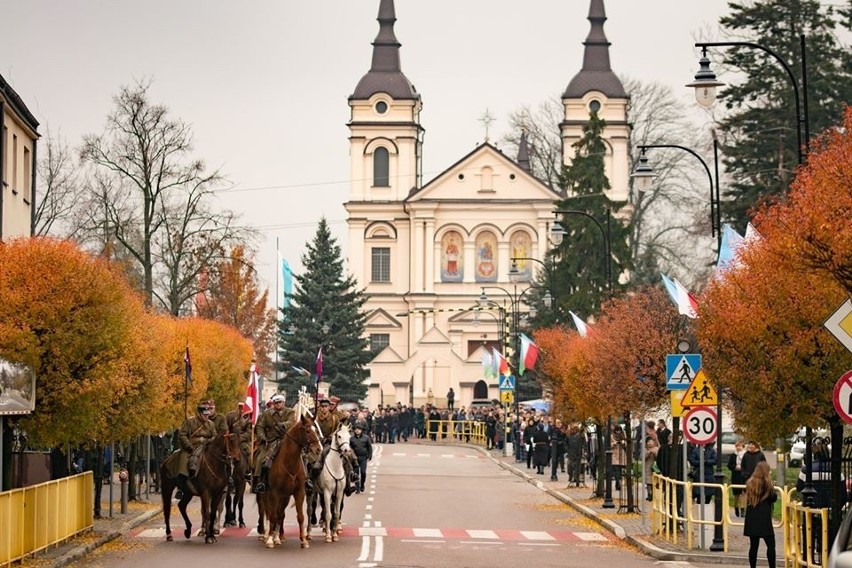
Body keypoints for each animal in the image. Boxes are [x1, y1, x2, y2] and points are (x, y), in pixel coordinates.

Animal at [258, 412, 322, 552]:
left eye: (316, 430)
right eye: (307, 430)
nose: (318, 449)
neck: (289, 462)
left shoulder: (299, 493)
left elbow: (300, 516)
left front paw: (303, 541)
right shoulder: (275, 493)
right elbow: (272, 516)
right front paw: (269, 540)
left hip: (285, 497)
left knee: (280, 514)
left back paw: (277, 537)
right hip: (266, 495)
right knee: (269, 513)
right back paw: (268, 535)